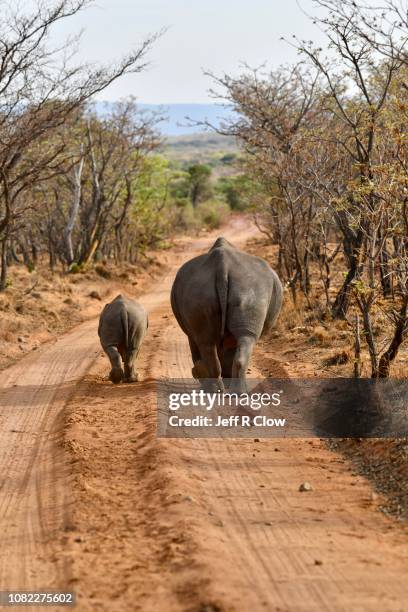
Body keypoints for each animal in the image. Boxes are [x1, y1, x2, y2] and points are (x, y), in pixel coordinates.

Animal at [171, 237, 282, 390]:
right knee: (240, 338)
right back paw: (232, 391)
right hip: (248, 288)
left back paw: (223, 390)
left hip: (206, 290)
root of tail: (222, 266)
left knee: (209, 342)